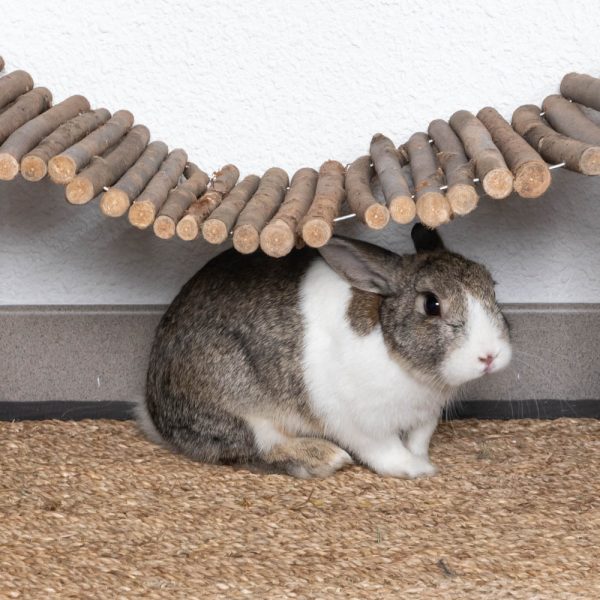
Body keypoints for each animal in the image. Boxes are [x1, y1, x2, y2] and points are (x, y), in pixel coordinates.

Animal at [137, 225, 510, 478]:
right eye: (431, 304)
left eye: (492, 286)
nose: (489, 356)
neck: (394, 351)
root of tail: (154, 414)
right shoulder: (359, 422)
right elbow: (385, 451)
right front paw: (416, 470)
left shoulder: (424, 419)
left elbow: (418, 439)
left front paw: (423, 460)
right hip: (234, 401)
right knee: (260, 446)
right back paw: (326, 458)